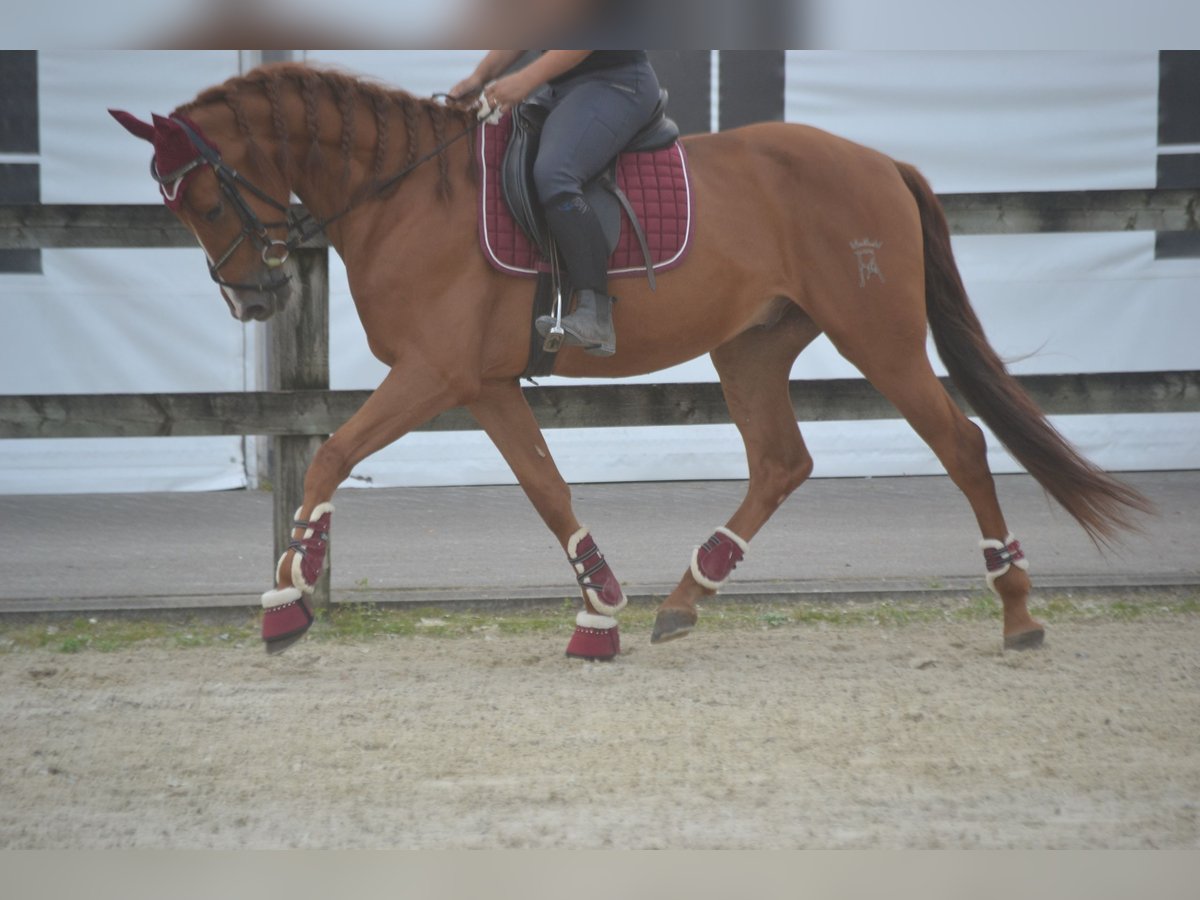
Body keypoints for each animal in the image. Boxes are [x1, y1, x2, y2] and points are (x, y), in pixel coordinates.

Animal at [112, 61, 1152, 657]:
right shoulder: (484, 384)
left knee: (961, 444)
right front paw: (601, 612)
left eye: (196, 197)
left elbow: (330, 453)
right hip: (751, 346)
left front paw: (288, 595)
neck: (407, 193)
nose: (253, 298)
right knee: (783, 461)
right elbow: (546, 488)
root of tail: (877, 162)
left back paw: (1018, 612)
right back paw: (686, 596)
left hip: (878, 335)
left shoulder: (435, 375)